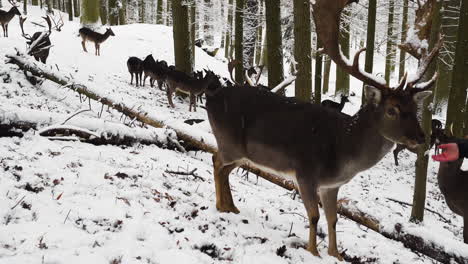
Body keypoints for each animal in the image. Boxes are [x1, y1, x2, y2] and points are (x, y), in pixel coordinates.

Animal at [204, 0, 438, 260]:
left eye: (415, 108)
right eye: (392, 110)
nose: (421, 137)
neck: (342, 149)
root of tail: (211, 97)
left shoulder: (331, 186)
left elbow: (333, 219)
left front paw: (336, 254)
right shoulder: (305, 173)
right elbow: (314, 215)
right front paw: (313, 252)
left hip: (243, 154)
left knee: (223, 169)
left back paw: (231, 207)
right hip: (229, 143)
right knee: (215, 160)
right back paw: (221, 205)